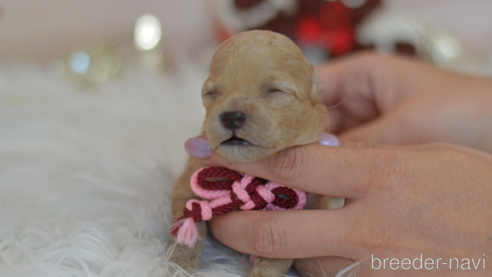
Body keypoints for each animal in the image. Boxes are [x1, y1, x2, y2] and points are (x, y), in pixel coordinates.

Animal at [167, 29, 328, 274]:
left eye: (275, 91)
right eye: (212, 93)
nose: (231, 117)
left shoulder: (304, 210)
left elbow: (277, 255)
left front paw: (265, 272)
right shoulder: (187, 181)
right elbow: (189, 218)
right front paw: (180, 264)